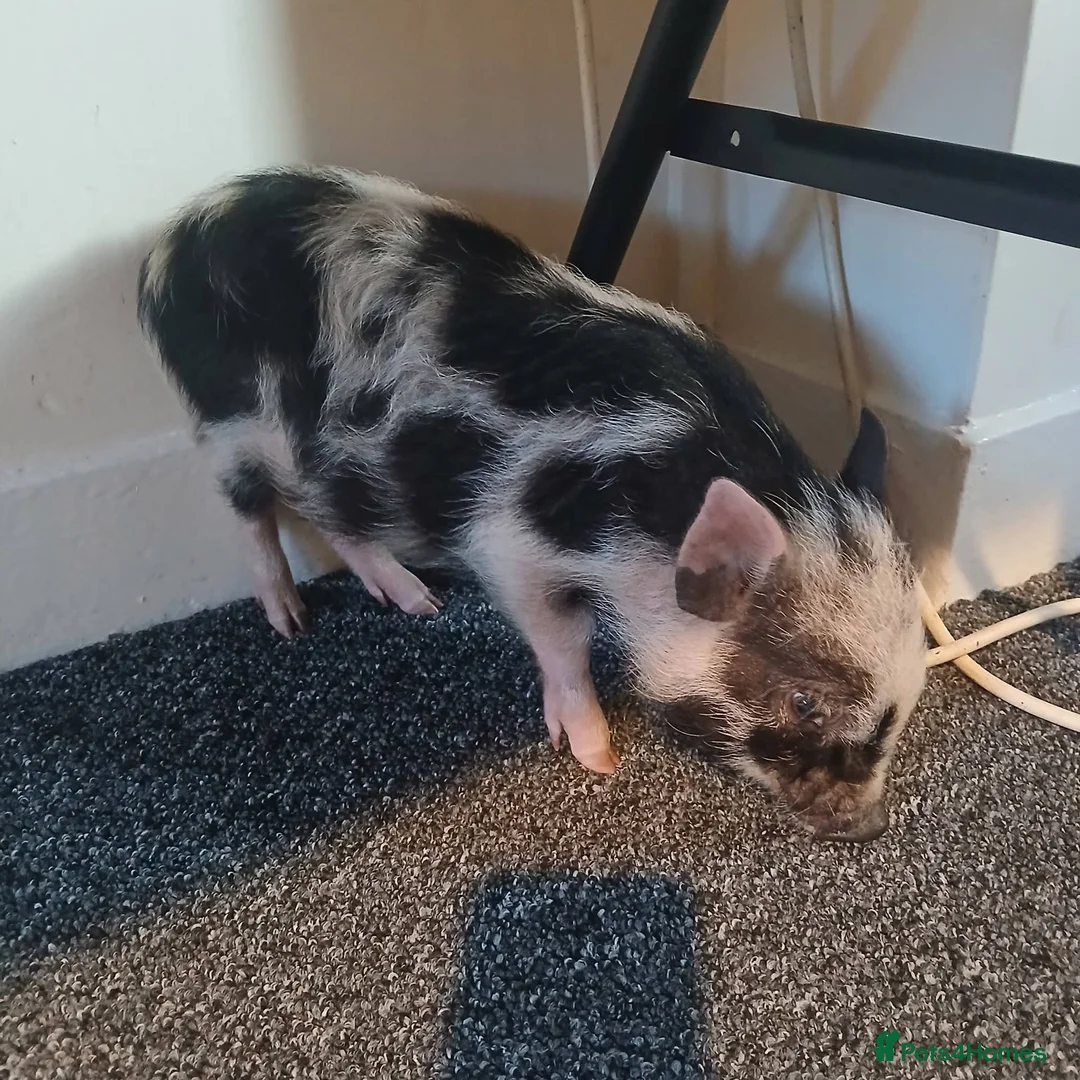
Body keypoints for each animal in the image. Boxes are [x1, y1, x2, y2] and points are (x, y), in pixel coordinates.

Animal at [137, 167, 926, 842]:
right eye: (804, 703)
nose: (870, 826)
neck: (649, 497)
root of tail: (174, 242)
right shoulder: (512, 542)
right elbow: (565, 642)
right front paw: (599, 758)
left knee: (340, 517)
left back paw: (418, 602)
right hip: (237, 420)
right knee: (251, 508)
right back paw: (291, 623)